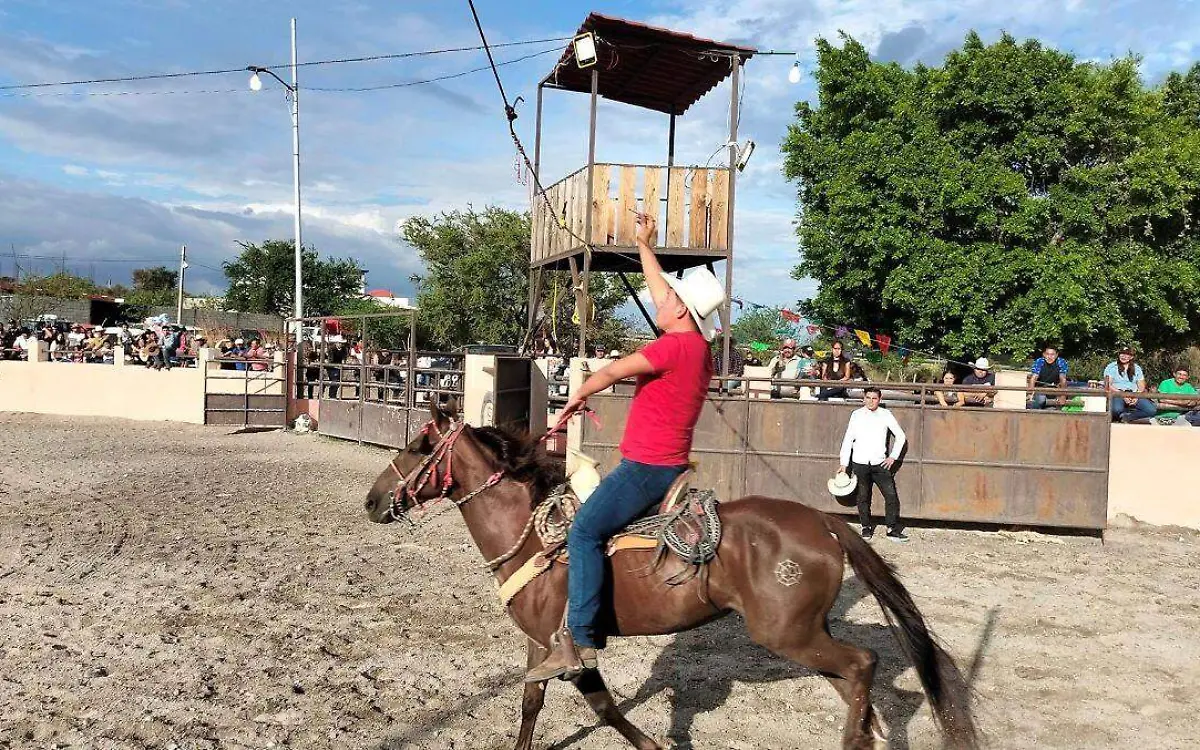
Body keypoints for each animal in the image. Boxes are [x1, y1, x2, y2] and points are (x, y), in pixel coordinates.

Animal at [360, 403, 979, 748]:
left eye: (416, 445)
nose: (371, 501)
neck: (532, 532)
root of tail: (825, 523)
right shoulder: (543, 645)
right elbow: (546, 704)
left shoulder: (564, 645)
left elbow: (595, 706)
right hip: (806, 634)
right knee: (856, 680)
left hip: (788, 634)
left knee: (863, 664)